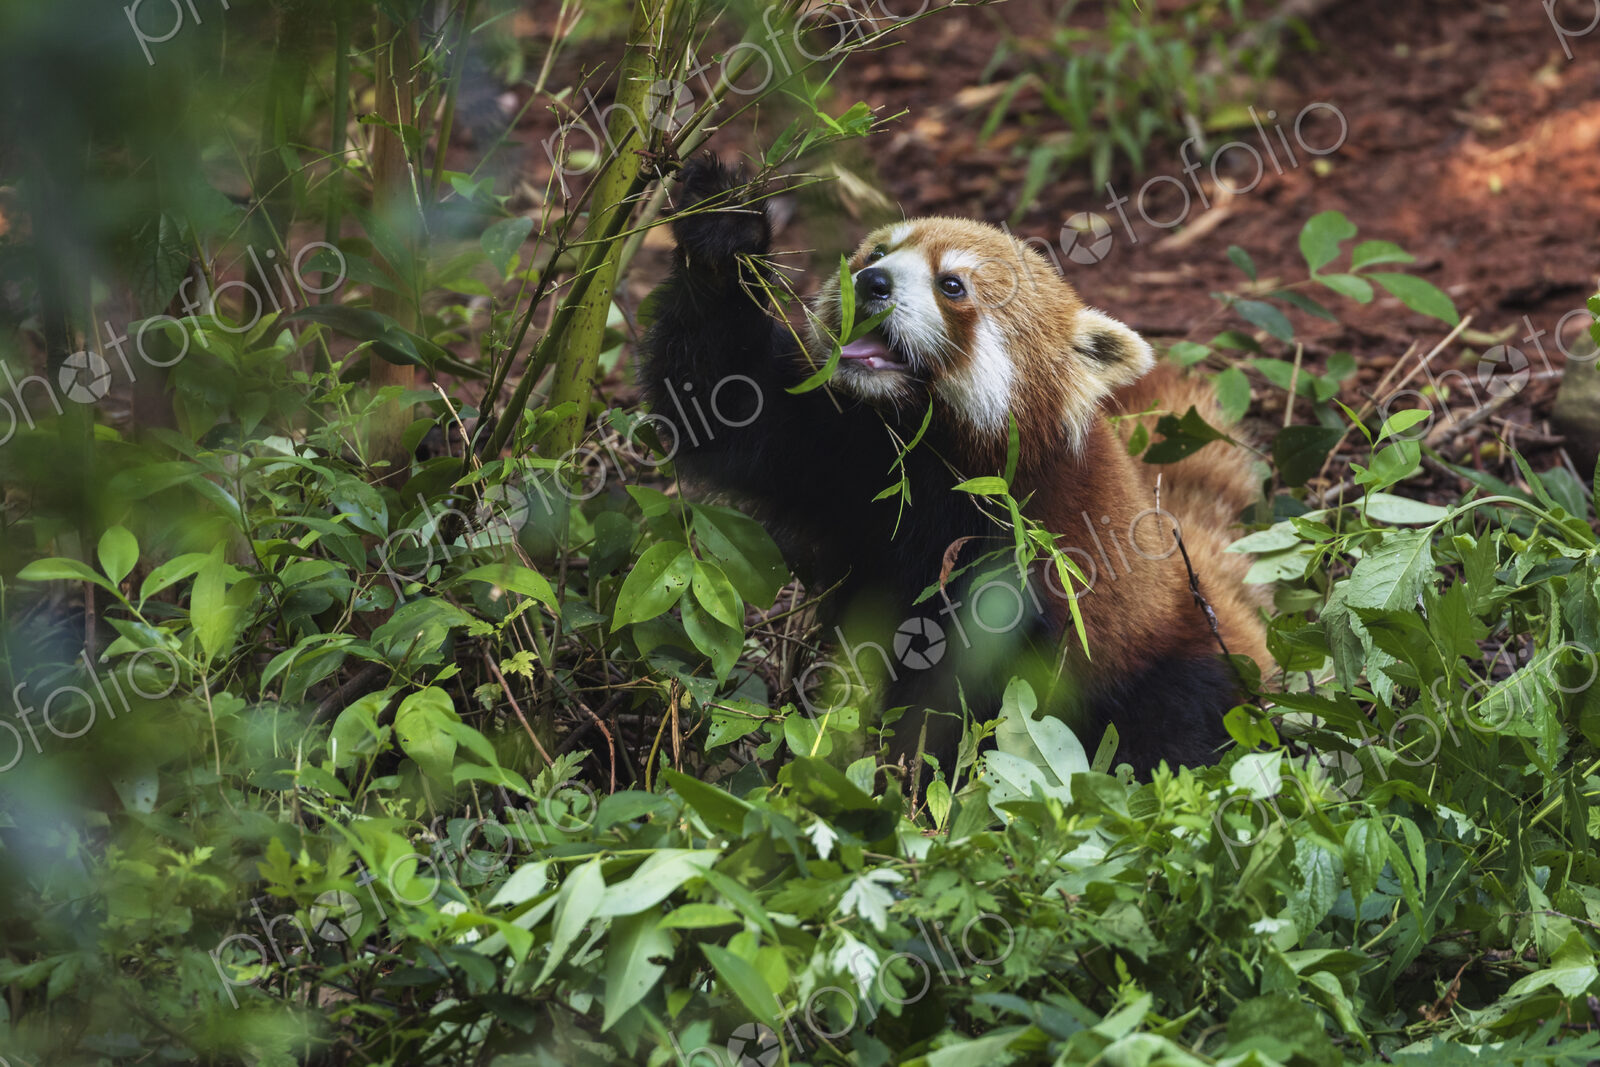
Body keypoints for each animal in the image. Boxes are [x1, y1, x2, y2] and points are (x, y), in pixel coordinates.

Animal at [640, 154, 1271, 781]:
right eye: (876, 252)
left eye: (951, 284)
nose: (871, 283)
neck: (925, 452)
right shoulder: (829, 447)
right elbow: (719, 399)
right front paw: (724, 226)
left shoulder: (1032, 548)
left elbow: (966, 682)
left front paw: (911, 769)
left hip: (1174, 666)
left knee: (1173, 734)